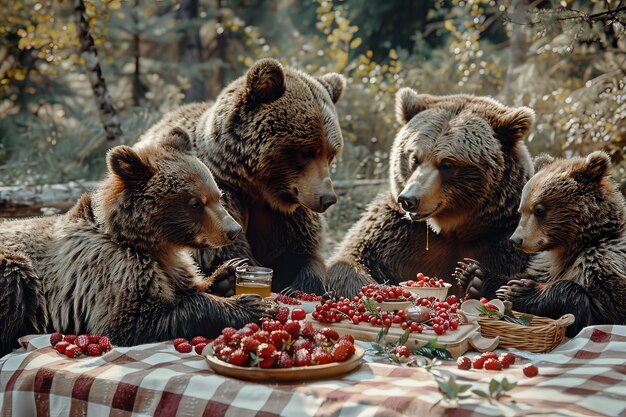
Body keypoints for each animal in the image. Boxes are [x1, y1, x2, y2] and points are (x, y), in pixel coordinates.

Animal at [0, 127, 264, 354]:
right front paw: (250, 304)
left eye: (217, 195)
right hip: (16, 269)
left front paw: (229, 274)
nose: (233, 230)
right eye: (195, 203)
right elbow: (137, 318)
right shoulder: (110, 267)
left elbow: (187, 283)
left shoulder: (172, 264)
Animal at [138, 57, 346, 296]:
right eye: (306, 152)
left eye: (331, 154)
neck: (255, 186)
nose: (328, 198)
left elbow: (303, 251)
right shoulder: (221, 197)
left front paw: (298, 285)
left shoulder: (286, 212)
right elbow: (226, 250)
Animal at [324, 88, 532, 298]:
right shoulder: (396, 232)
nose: (408, 200)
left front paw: (477, 278)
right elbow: (351, 259)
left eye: (447, 164)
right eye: (414, 157)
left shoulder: (503, 235)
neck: (452, 227)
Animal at [454, 151, 624, 336]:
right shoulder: (544, 265)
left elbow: (595, 316)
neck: (572, 245)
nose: (515, 240)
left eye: (539, 210)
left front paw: (520, 291)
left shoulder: (603, 266)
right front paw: (473, 275)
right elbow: (520, 276)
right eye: (521, 210)